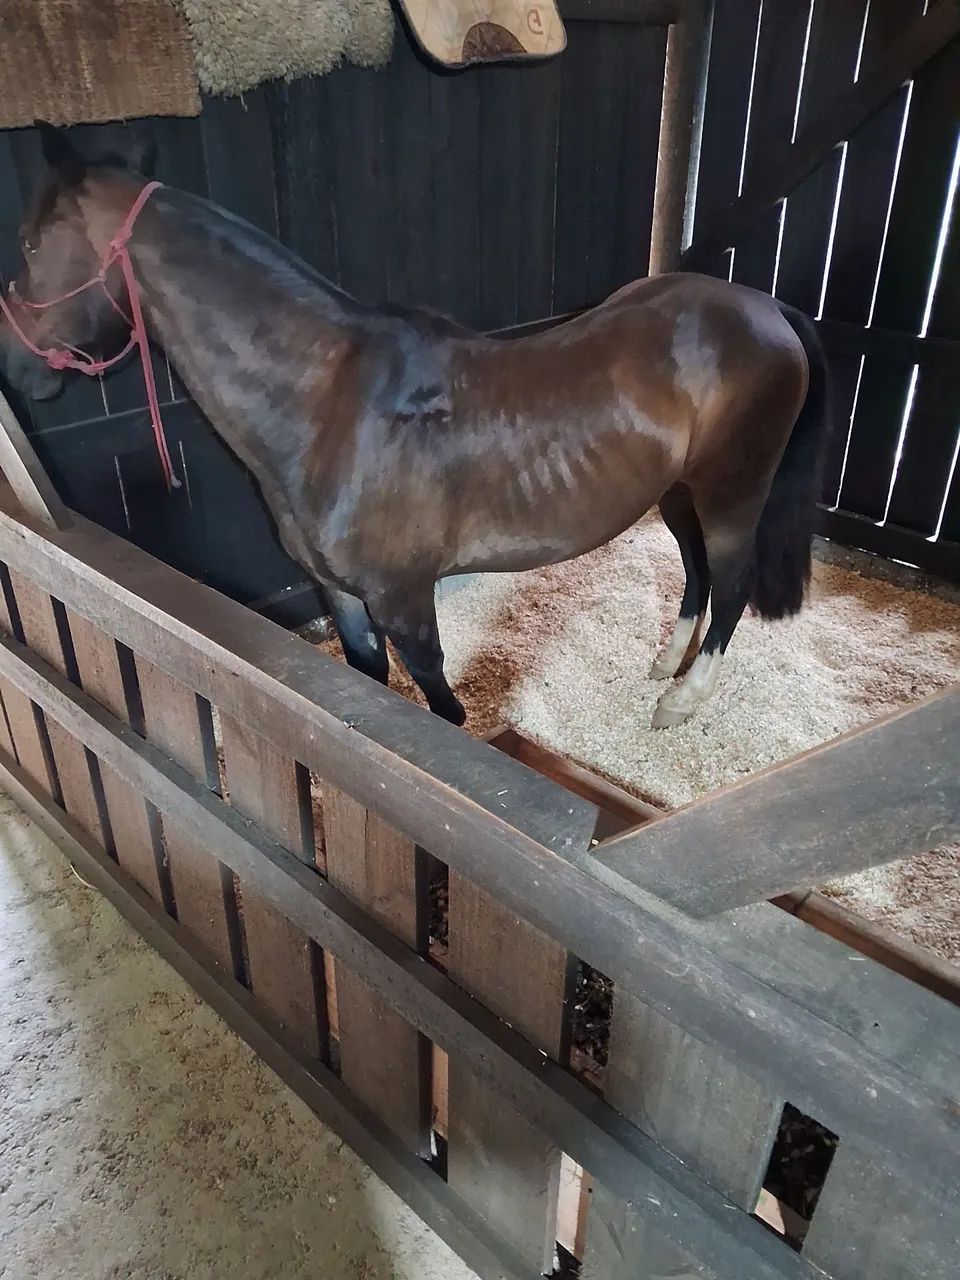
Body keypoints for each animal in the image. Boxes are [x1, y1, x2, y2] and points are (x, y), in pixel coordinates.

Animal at [0, 124, 828, 730]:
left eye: (31, 241)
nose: (14, 365)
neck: (327, 408)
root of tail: (767, 308)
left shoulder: (403, 598)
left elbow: (439, 706)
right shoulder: (340, 596)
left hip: (732, 492)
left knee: (732, 585)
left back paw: (681, 700)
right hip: (678, 489)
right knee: (696, 570)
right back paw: (666, 664)